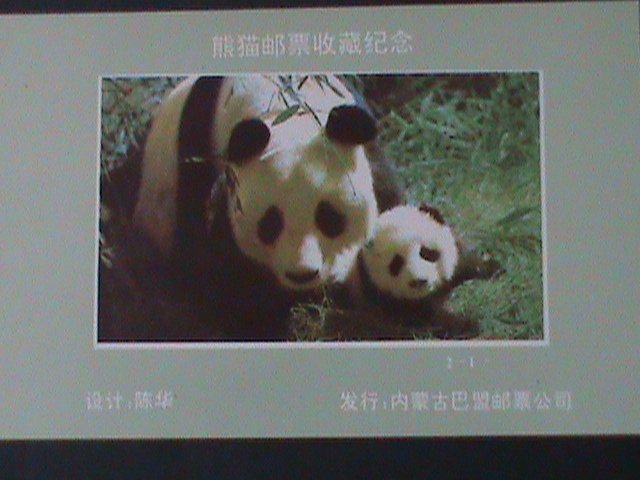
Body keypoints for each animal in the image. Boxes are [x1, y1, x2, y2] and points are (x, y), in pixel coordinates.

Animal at [327, 203, 501, 339]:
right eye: (396, 264)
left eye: (426, 252)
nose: (419, 280)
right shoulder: (381, 300)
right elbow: (424, 320)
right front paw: (465, 324)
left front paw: (491, 268)